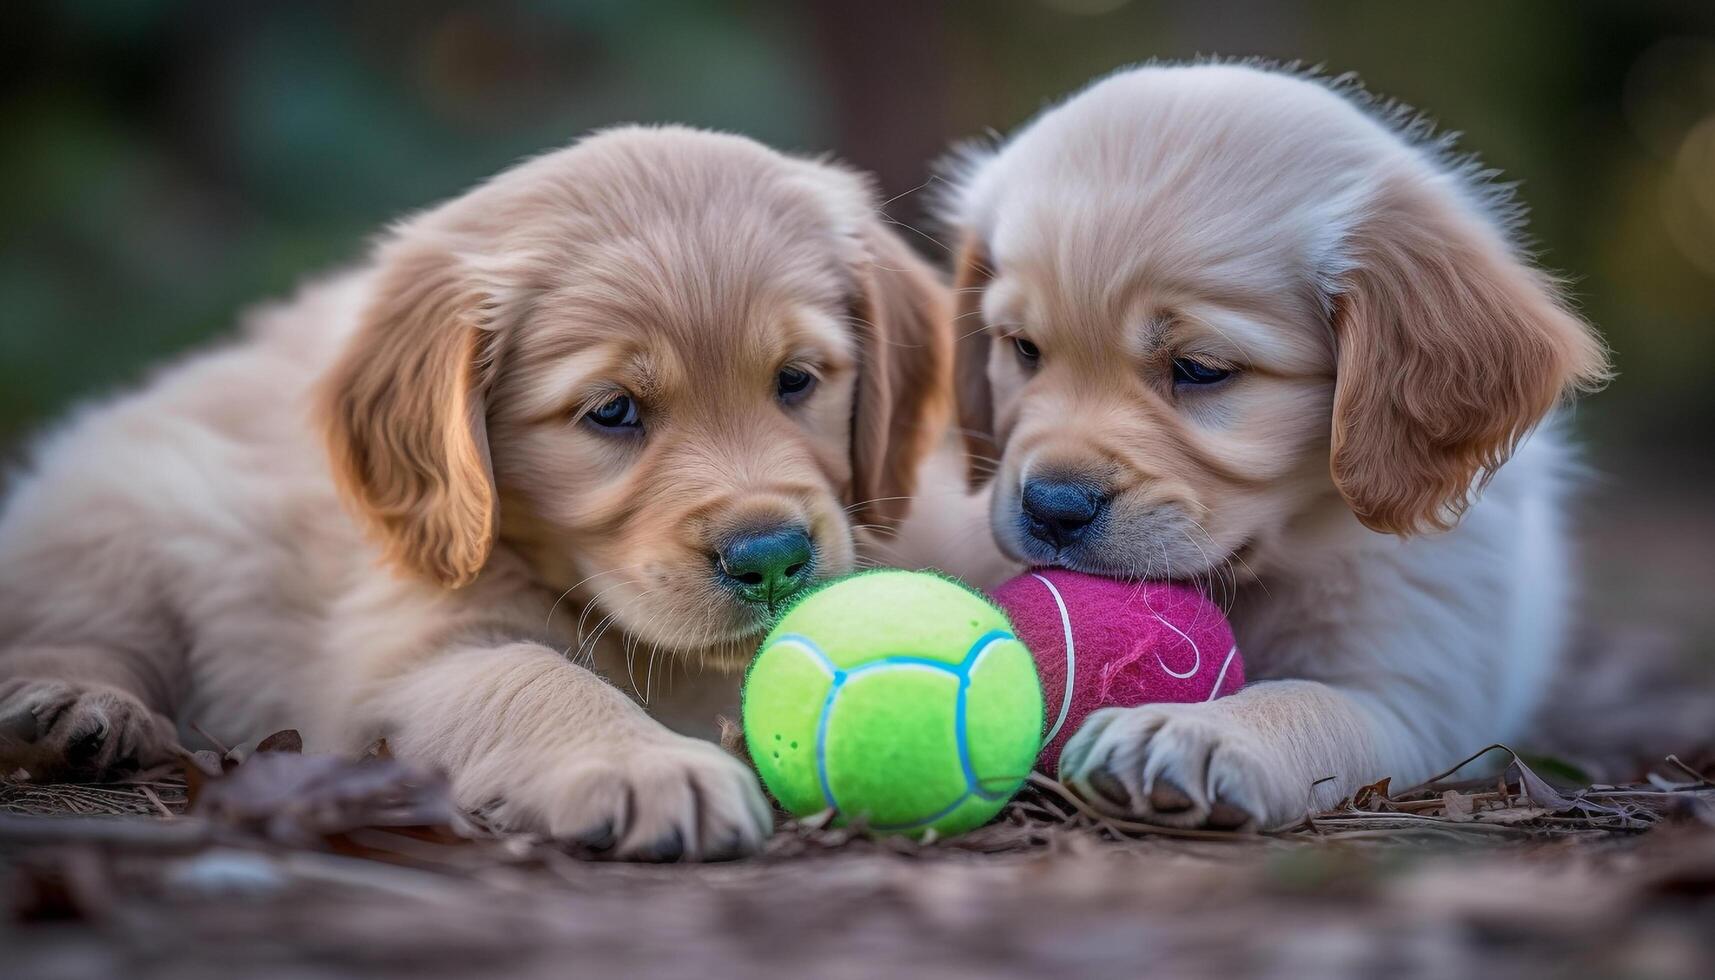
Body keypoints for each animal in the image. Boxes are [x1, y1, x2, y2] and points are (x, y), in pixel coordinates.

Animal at [0, 126, 953, 861]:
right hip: (124, 501)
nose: (772, 559)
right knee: (81, 624)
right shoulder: (393, 664)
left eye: (796, 380)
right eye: (612, 411)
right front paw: (647, 767)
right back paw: (75, 705)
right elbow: (526, 675)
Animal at [939, 63, 1605, 827]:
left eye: (1200, 368)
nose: (1051, 508)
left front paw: (1191, 733)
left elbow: (1310, 703)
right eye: (1023, 349)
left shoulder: (1414, 694)